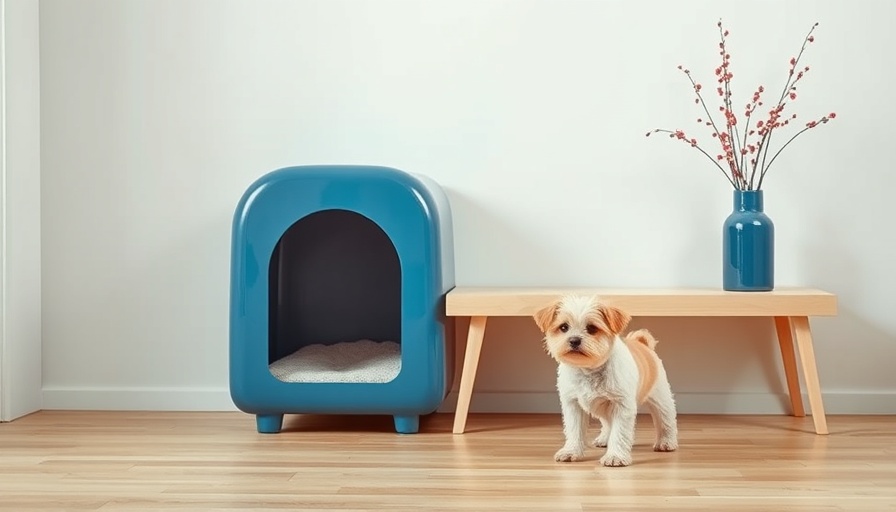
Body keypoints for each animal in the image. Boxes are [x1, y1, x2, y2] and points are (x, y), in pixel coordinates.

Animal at [532, 294, 680, 466]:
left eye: (591, 328)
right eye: (563, 327)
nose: (574, 340)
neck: (588, 370)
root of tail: (641, 343)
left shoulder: (621, 406)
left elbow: (619, 432)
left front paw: (615, 456)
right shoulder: (573, 405)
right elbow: (574, 430)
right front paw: (571, 451)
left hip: (660, 398)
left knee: (666, 419)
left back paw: (666, 442)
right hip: (604, 408)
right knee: (608, 423)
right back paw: (604, 439)